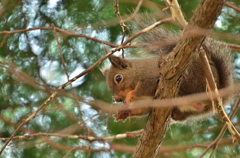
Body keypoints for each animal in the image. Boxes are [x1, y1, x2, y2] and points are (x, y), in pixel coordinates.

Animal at [102, 17, 232, 121]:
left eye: (118, 78)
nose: (118, 99)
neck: (136, 72)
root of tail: (218, 89)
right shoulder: (145, 101)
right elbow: (143, 108)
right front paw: (124, 113)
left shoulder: (149, 76)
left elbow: (144, 88)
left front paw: (131, 94)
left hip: (195, 79)